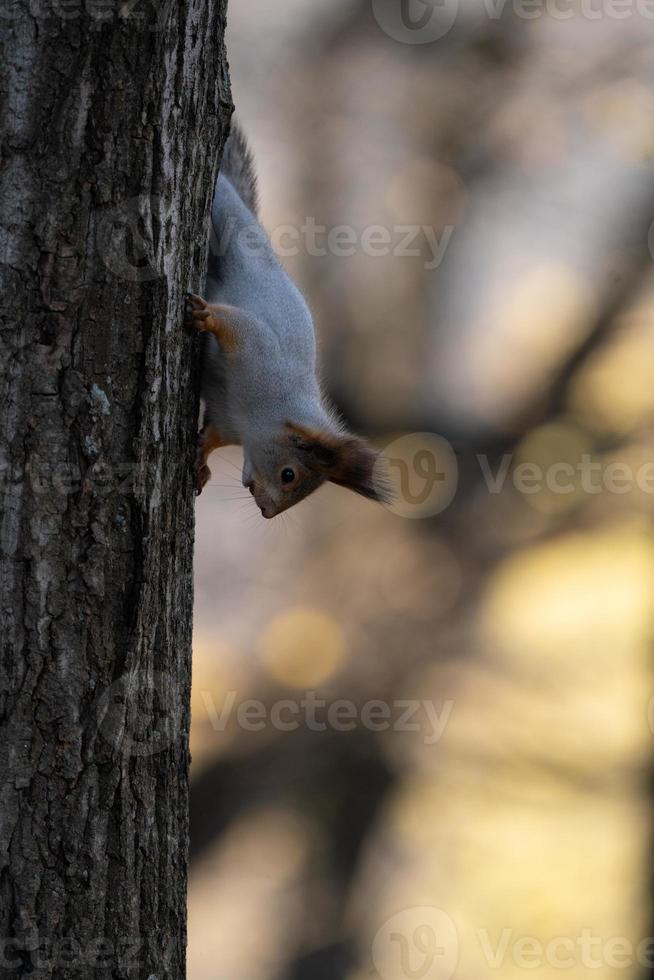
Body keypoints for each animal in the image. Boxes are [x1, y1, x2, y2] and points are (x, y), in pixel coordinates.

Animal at [184, 122, 390, 520]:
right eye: (289, 474)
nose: (267, 512)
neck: (256, 414)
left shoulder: (227, 421)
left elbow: (213, 437)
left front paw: (201, 458)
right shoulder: (258, 351)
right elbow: (236, 327)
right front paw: (205, 316)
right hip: (232, 224)